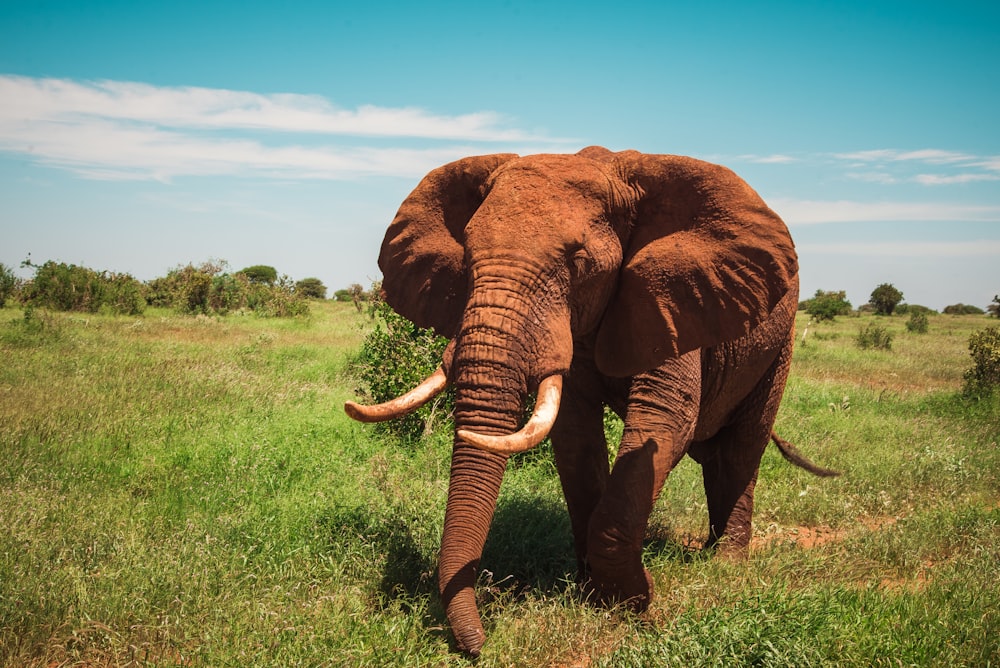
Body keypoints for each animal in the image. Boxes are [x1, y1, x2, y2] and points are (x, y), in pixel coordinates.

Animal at [344, 146, 836, 656]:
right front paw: (591, 593)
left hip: (779, 343)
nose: (478, 646)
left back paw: (726, 564)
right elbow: (576, 437)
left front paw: (635, 602)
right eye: (467, 255)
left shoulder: (672, 299)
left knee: (741, 451)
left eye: (579, 261)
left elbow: (665, 422)